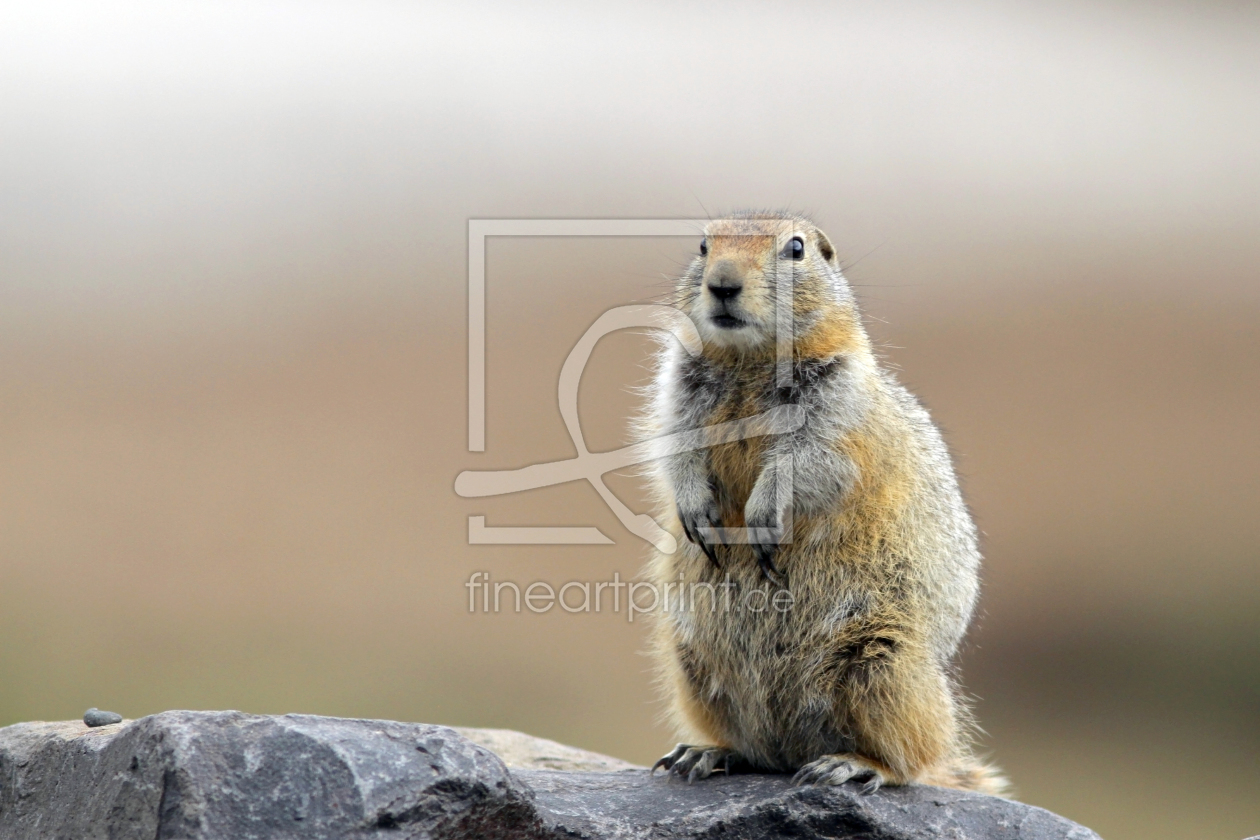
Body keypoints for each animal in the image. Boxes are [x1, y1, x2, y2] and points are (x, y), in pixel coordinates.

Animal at [640, 209, 1002, 795]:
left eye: (796, 249)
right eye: (702, 246)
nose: (722, 284)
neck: (749, 360)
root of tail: (791, 748)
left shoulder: (835, 402)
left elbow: (809, 459)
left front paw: (763, 517)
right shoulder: (677, 389)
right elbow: (676, 446)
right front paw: (696, 512)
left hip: (885, 664)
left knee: (915, 759)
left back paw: (850, 764)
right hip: (688, 660)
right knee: (750, 746)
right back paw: (706, 752)